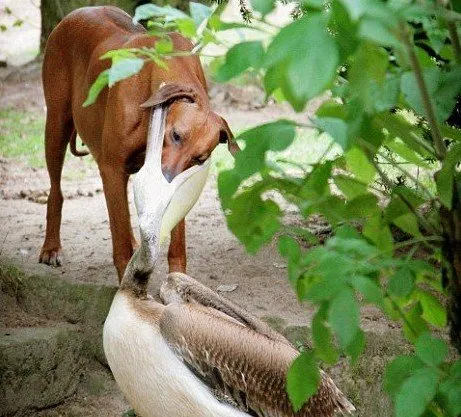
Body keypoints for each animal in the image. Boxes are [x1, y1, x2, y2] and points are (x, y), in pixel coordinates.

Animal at [39, 5, 237, 280]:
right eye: (175, 135)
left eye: (200, 158)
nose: (167, 179)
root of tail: (76, 12)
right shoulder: (112, 169)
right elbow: (120, 240)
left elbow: (176, 239)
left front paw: (177, 279)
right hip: (56, 127)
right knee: (56, 191)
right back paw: (51, 247)